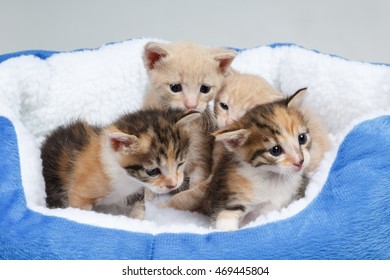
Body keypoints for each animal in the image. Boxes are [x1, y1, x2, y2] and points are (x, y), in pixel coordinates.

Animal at [41, 106, 200, 217]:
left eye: (180, 164)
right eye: (152, 171)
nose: (173, 185)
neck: (125, 177)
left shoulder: (136, 193)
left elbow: (139, 208)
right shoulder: (79, 194)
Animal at [166, 88, 316, 230]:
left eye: (302, 138)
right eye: (275, 150)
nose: (300, 161)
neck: (275, 178)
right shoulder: (231, 197)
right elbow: (226, 219)